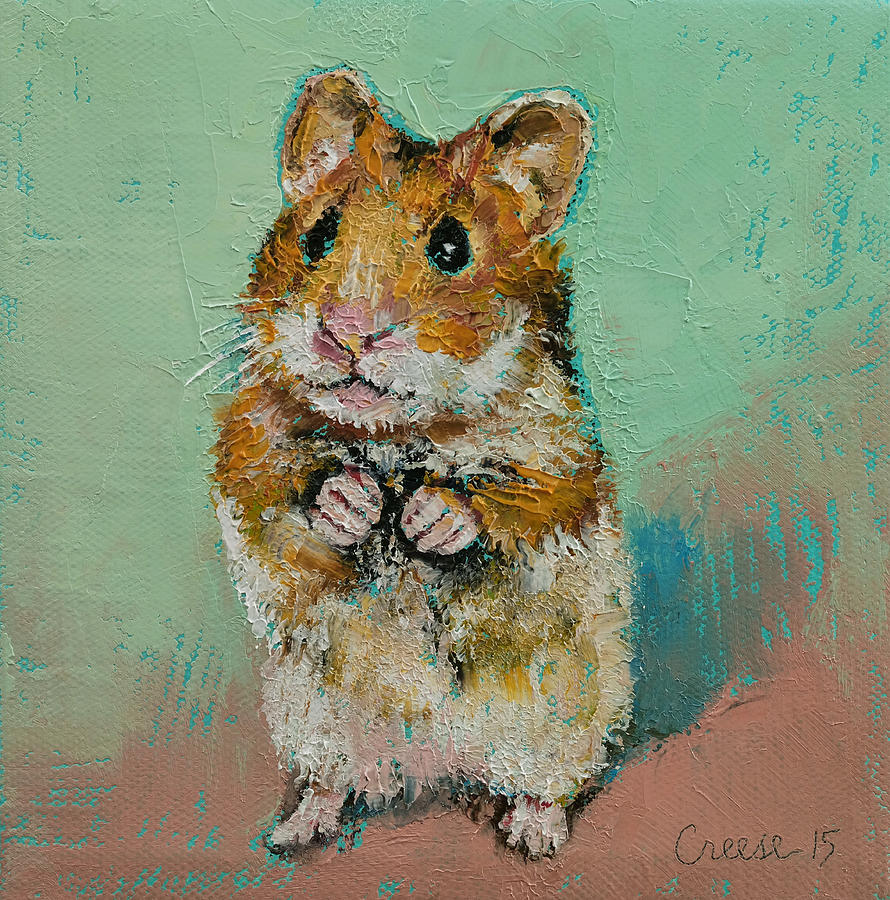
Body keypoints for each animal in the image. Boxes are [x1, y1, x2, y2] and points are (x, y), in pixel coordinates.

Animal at [212, 68, 633, 860]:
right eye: (318, 235)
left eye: (451, 247)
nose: (346, 332)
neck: (397, 433)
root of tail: (436, 762)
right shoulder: (247, 451)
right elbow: (283, 491)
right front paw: (352, 502)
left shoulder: (567, 465)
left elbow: (512, 497)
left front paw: (428, 516)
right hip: (311, 716)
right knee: (332, 780)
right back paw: (295, 831)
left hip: (567, 712)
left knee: (546, 781)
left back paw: (531, 836)